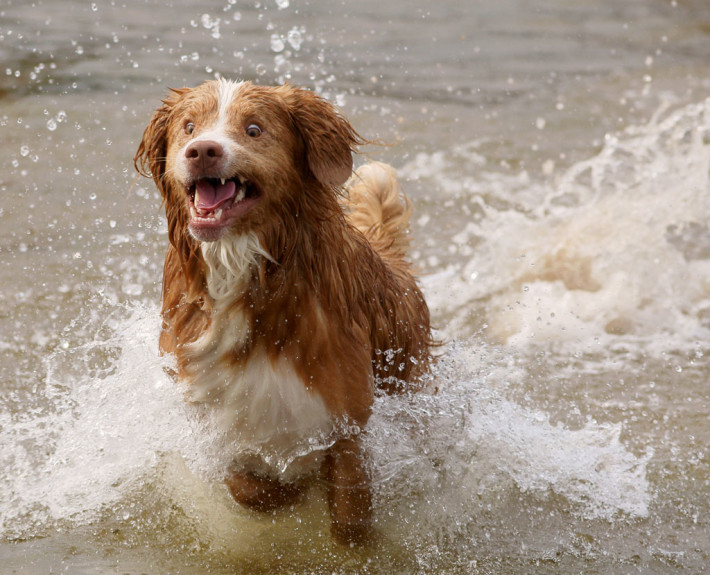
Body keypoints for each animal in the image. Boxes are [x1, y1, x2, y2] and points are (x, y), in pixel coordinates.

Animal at [134, 80, 434, 544]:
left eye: (254, 129)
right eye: (189, 127)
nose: (202, 151)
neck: (248, 274)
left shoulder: (347, 416)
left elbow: (350, 512)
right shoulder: (211, 409)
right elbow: (245, 486)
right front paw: (285, 491)